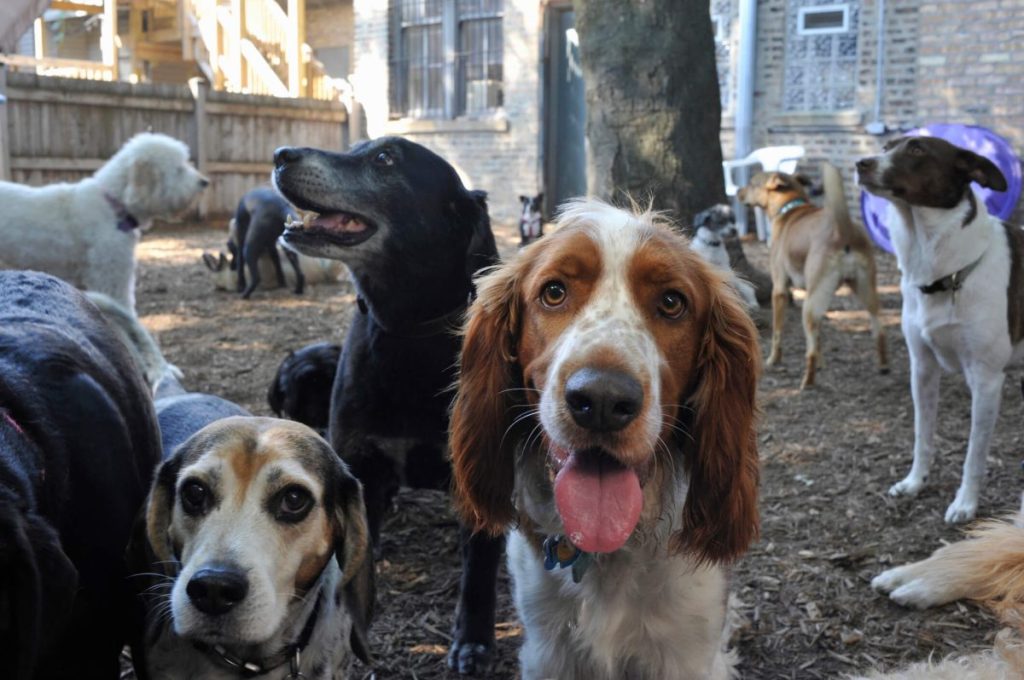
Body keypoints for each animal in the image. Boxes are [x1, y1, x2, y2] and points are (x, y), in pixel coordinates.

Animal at [272, 135, 503, 671]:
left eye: (385, 159)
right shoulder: (361, 464)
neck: (408, 333)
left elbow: (478, 575)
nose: (281, 154)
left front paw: (473, 642)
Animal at [737, 163, 888, 387]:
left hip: (808, 306)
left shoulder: (779, 290)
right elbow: (818, 338)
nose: (738, 191)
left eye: (752, 183)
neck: (790, 208)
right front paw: (823, 362)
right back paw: (883, 366)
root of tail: (844, 229)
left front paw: (773, 359)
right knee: (879, 329)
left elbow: (778, 332)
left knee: (809, 353)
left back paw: (806, 382)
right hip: (864, 292)